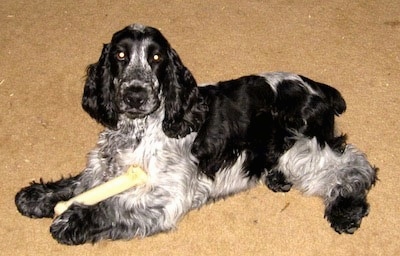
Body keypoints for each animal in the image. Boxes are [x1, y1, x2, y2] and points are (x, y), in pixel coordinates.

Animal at [14, 24, 378, 246]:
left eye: (156, 57)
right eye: (120, 55)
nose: (135, 94)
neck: (139, 129)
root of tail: (319, 88)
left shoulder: (168, 196)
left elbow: (113, 205)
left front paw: (72, 219)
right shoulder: (106, 168)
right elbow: (79, 184)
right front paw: (37, 196)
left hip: (302, 146)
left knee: (356, 167)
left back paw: (346, 210)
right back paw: (276, 179)